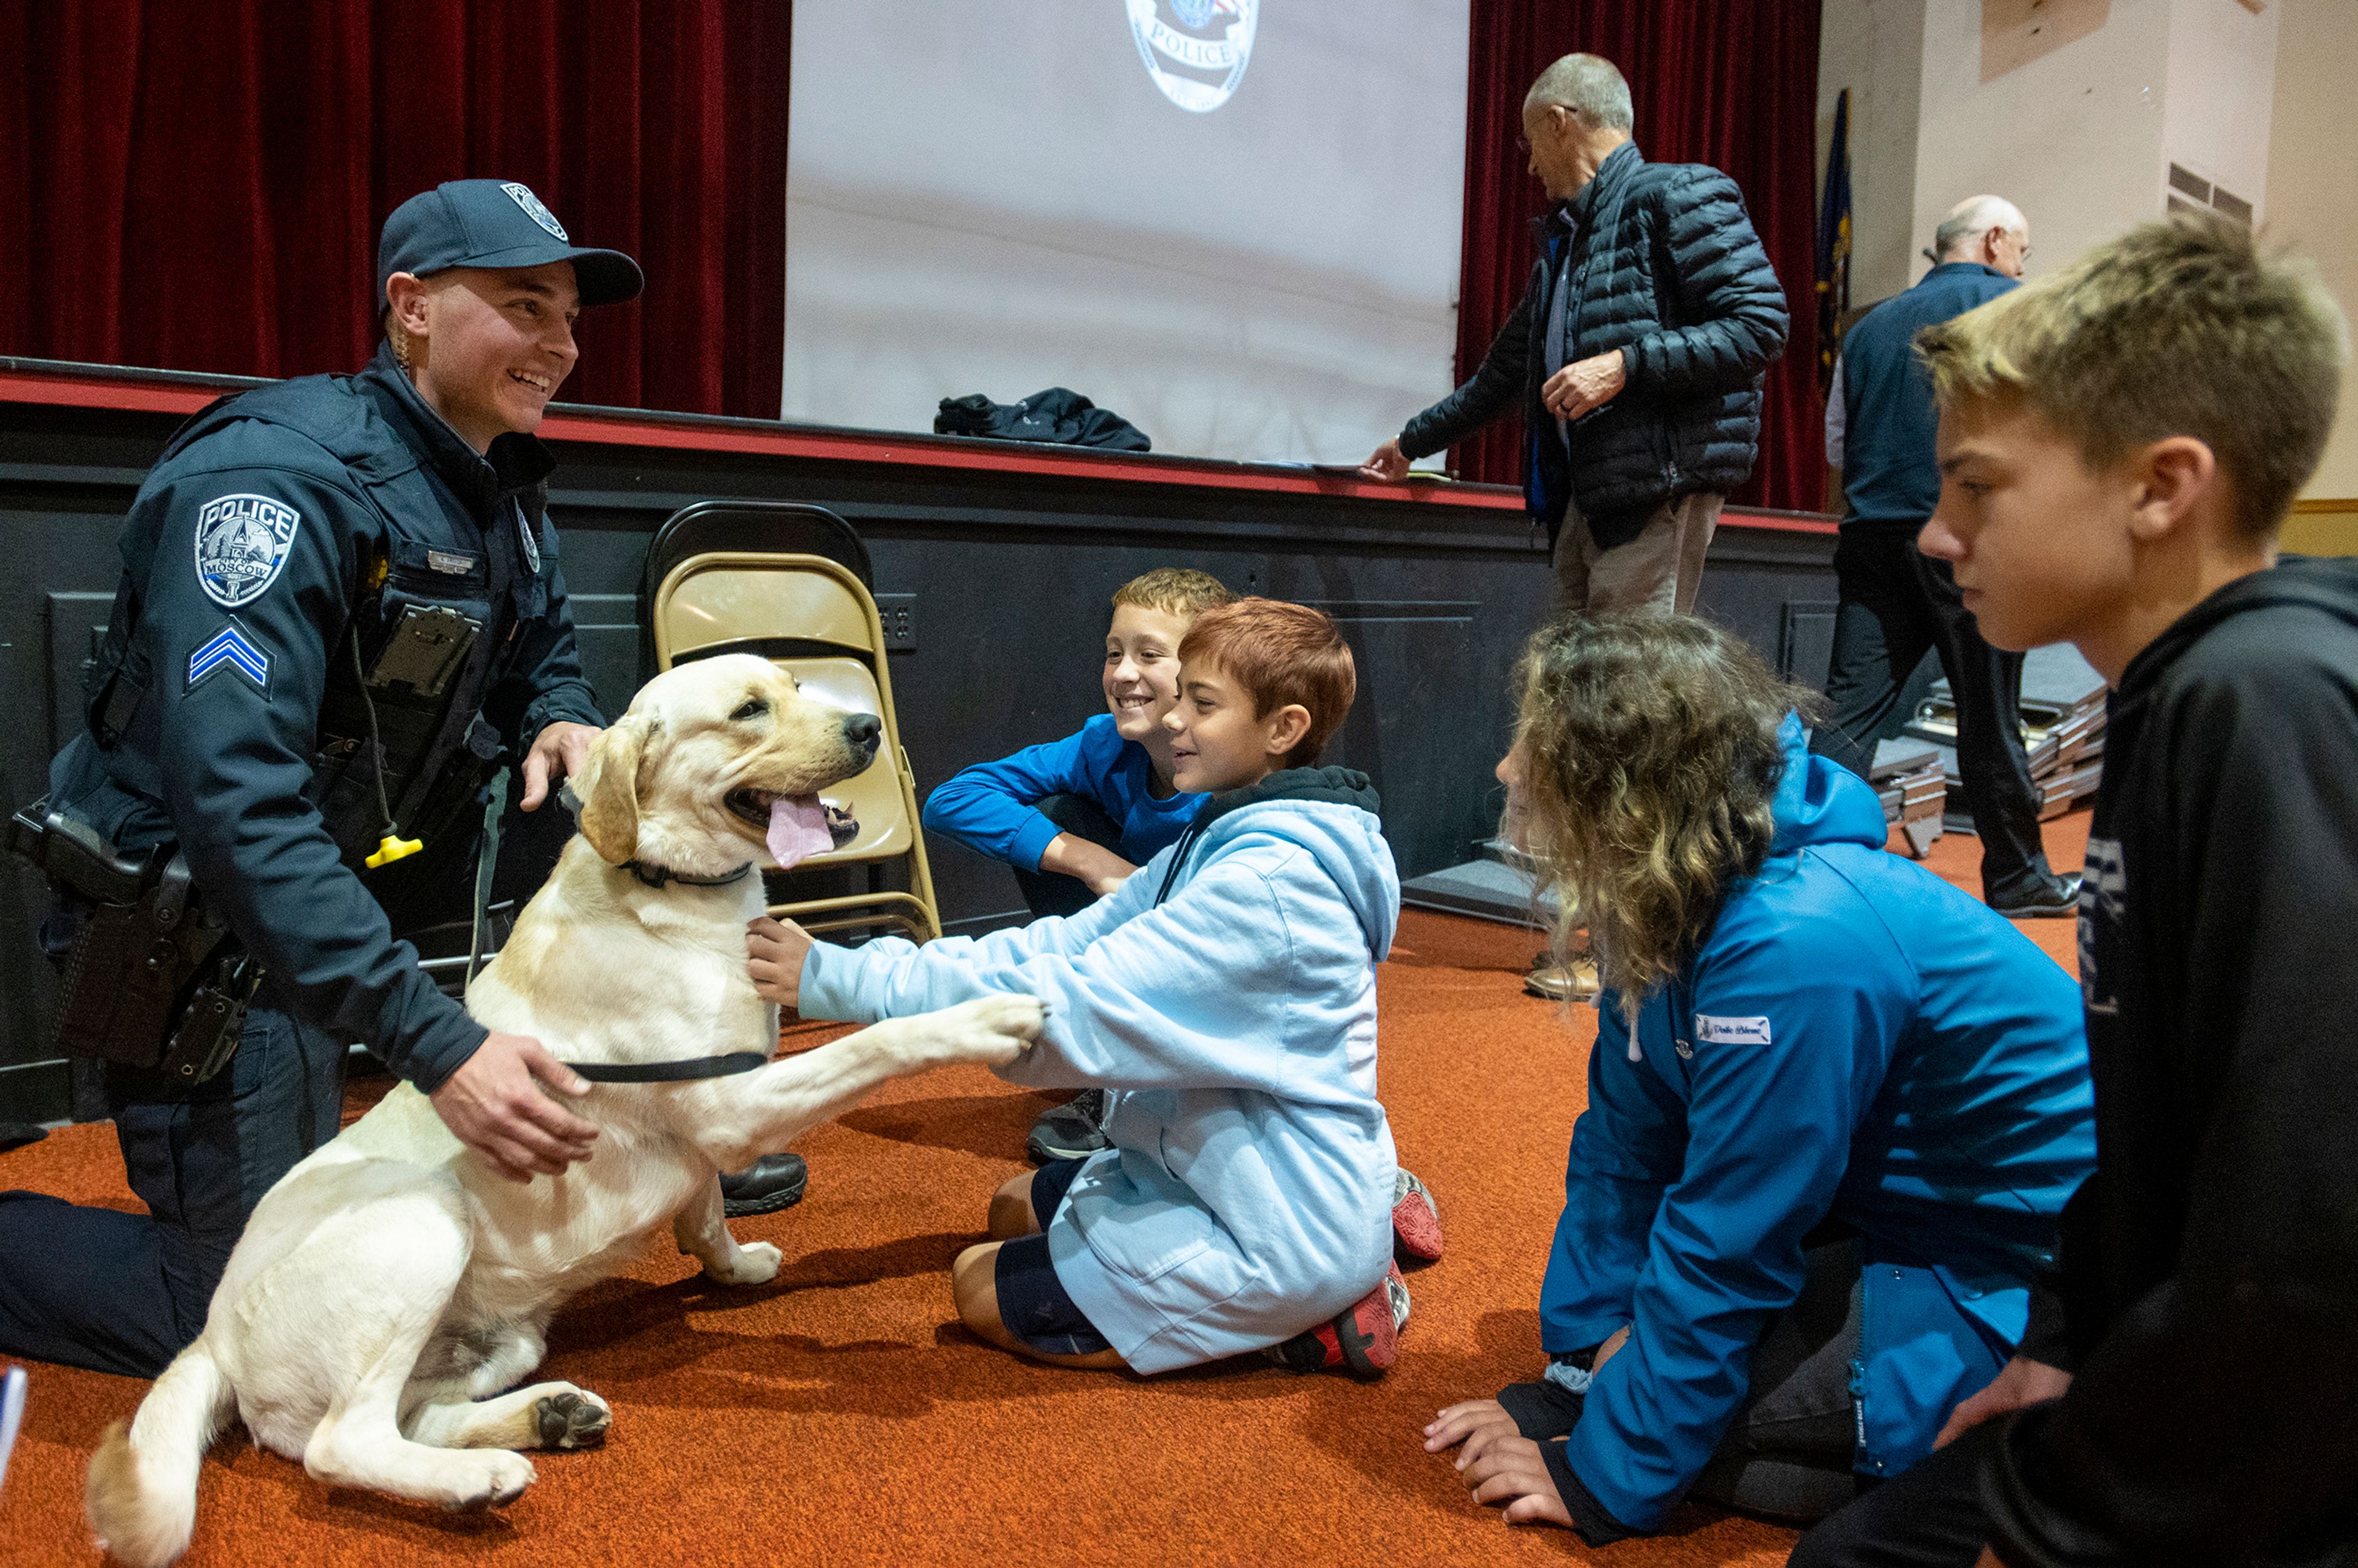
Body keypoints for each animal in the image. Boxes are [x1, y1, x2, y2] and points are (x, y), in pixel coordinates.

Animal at [87, 655, 1042, 1556]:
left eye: (797, 683)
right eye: (748, 711)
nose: (868, 725)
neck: (666, 884)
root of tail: (211, 1338)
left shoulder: (710, 1122)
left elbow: (706, 1212)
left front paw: (734, 1268)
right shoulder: (731, 1102)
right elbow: (871, 1044)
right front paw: (982, 1016)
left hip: (499, 1340)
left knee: (407, 1413)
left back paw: (543, 1419)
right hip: (423, 1221)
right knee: (339, 1442)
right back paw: (478, 1478)